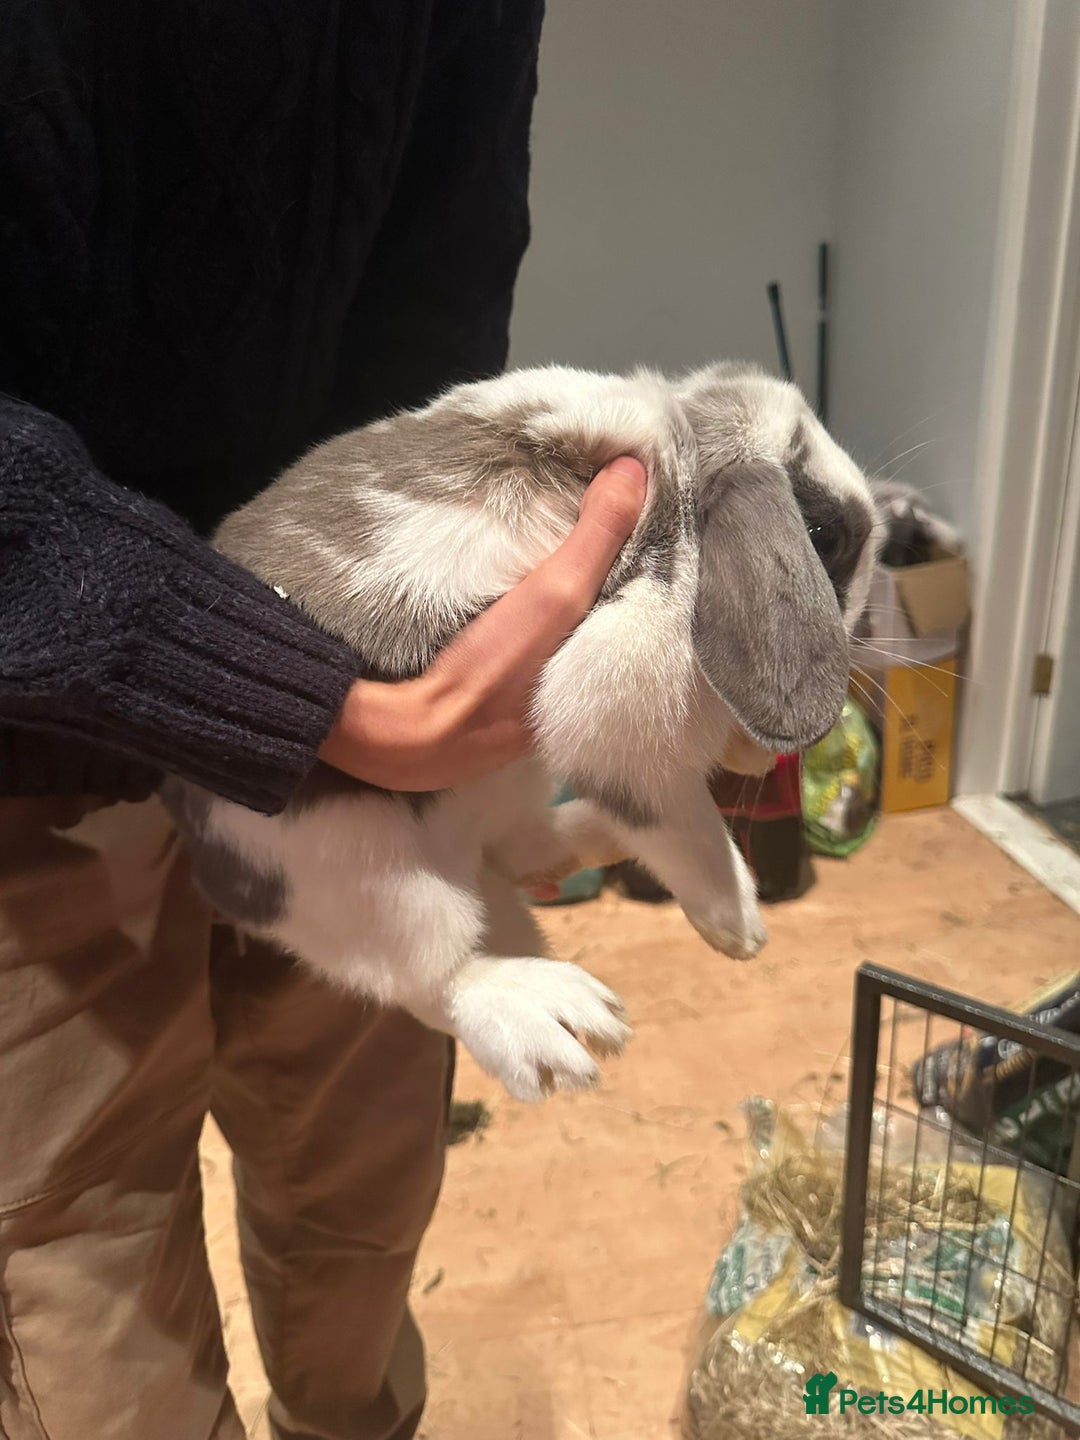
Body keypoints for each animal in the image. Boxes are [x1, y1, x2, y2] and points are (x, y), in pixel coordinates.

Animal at [163, 361, 877, 1101]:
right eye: (823, 534)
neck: (679, 461)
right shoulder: (621, 712)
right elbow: (687, 827)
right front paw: (738, 928)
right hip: (356, 867)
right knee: (436, 977)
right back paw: (555, 1018)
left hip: (505, 784)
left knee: (513, 851)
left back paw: (588, 846)